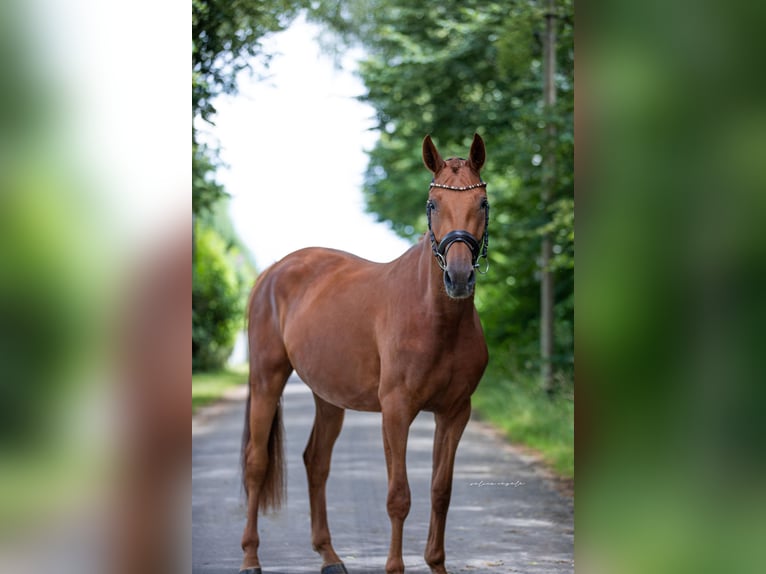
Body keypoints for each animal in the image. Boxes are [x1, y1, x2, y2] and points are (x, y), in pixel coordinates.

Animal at [239, 133, 491, 574]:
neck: (435, 319)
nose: (458, 277)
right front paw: (394, 567)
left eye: (482, 203)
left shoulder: (455, 412)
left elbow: (440, 491)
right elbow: (399, 496)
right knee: (256, 464)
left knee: (316, 462)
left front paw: (437, 564)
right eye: (433, 204)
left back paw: (330, 556)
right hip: (267, 379)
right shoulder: (396, 411)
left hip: (328, 397)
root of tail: (273, 271)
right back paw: (251, 558)